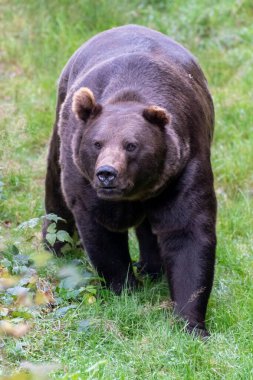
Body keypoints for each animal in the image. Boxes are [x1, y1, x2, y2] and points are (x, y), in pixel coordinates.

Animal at [43, 25, 215, 336]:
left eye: (131, 145)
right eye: (97, 143)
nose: (107, 173)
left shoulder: (185, 169)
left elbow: (188, 233)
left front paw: (192, 323)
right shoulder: (84, 180)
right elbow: (102, 234)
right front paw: (125, 288)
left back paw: (151, 267)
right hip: (62, 123)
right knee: (55, 189)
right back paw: (55, 246)